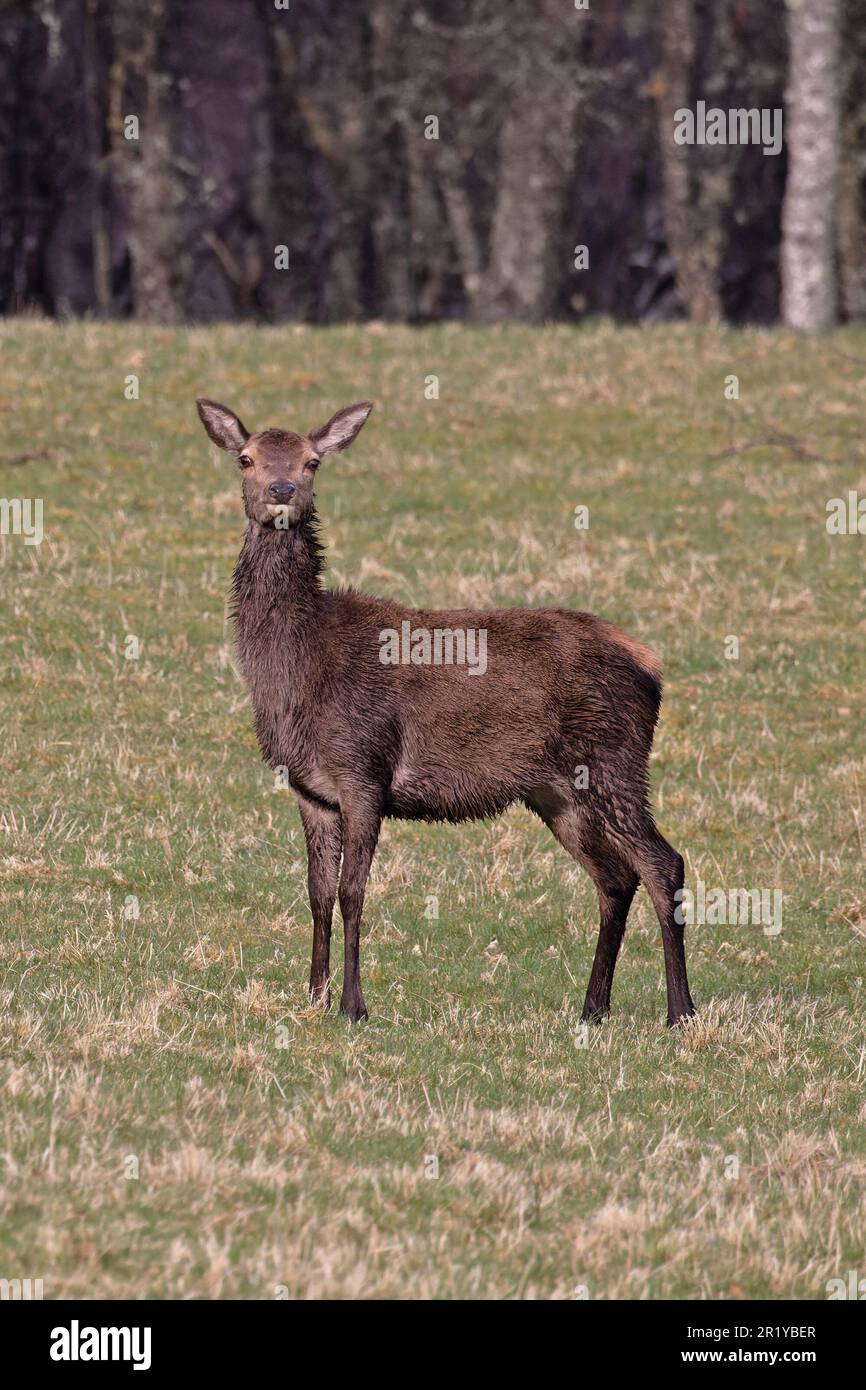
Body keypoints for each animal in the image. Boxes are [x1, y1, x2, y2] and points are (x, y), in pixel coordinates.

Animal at [196, 396, 696, 1028]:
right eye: (246, 457)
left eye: (312, 461)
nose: (282, 490)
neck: (298, 670)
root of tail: (652, 667)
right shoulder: (310, 789)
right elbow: (317, 893)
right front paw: (312, 995)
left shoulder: (365, 770)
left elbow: (353, 892)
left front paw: (353, 1006)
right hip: (557, 791)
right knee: (615, 877)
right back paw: (592, 1007)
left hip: (616, 761)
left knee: (663, 864)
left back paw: (680, 1011)